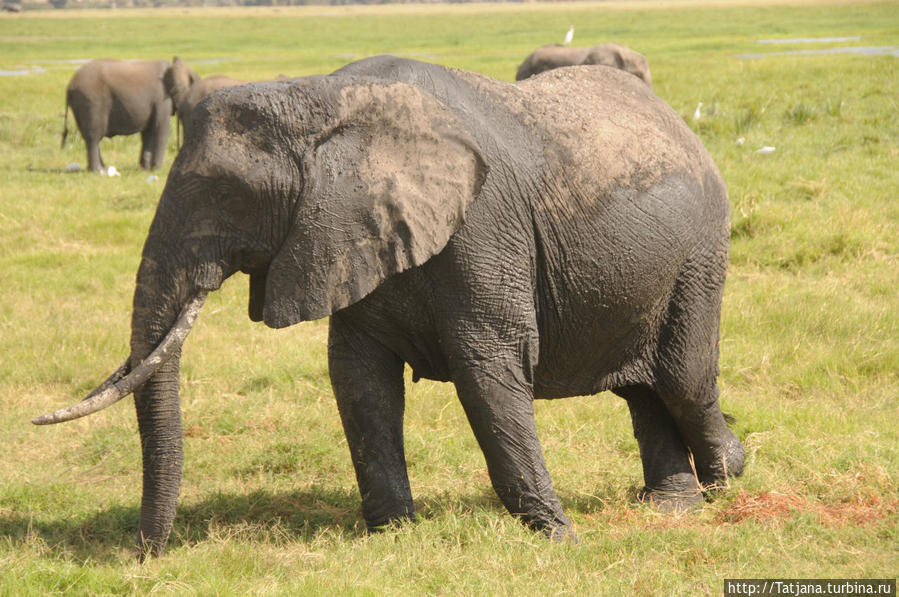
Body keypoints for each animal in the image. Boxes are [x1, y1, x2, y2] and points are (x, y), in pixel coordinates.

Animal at [35, 54, 744, 556]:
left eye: (225, 194)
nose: (143, 555)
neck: (320, 98)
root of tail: (682, 123)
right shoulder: (346, 235)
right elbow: (358, 379)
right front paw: (396, 535)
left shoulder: (483, 227)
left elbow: (488, 370)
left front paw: (559, 539)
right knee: (644, 389)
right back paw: (672, 506)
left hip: (700, 254)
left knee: (681, 378)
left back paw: (729, 473)